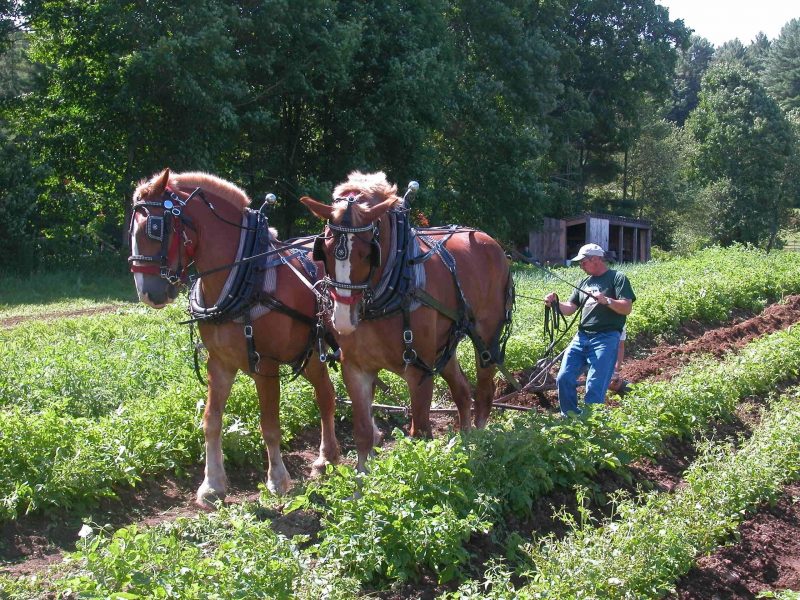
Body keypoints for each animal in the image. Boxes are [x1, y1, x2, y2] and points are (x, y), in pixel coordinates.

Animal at [126, 169, 340, 506]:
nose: (148, 294)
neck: (244, 275)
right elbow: (211, 421)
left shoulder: (265, 365)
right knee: (327, 396)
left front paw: (277, 480)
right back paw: (327, 458)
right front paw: (212, 485)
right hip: (310, 354)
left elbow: (270, 424)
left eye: (155, 228)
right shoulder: (220, 363)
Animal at [300, 171, 512, 472]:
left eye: (368, 253)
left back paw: (480, 443)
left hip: (486, 337)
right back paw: (464, 441)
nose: (342, 319)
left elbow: (420, 433)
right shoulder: (355, 369)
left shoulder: (419, 372)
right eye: (324, 250)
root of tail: (489, 241)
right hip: (444, 346)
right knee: (461, 390)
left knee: (484, 392)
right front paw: (360, 480)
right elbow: (363, 433)